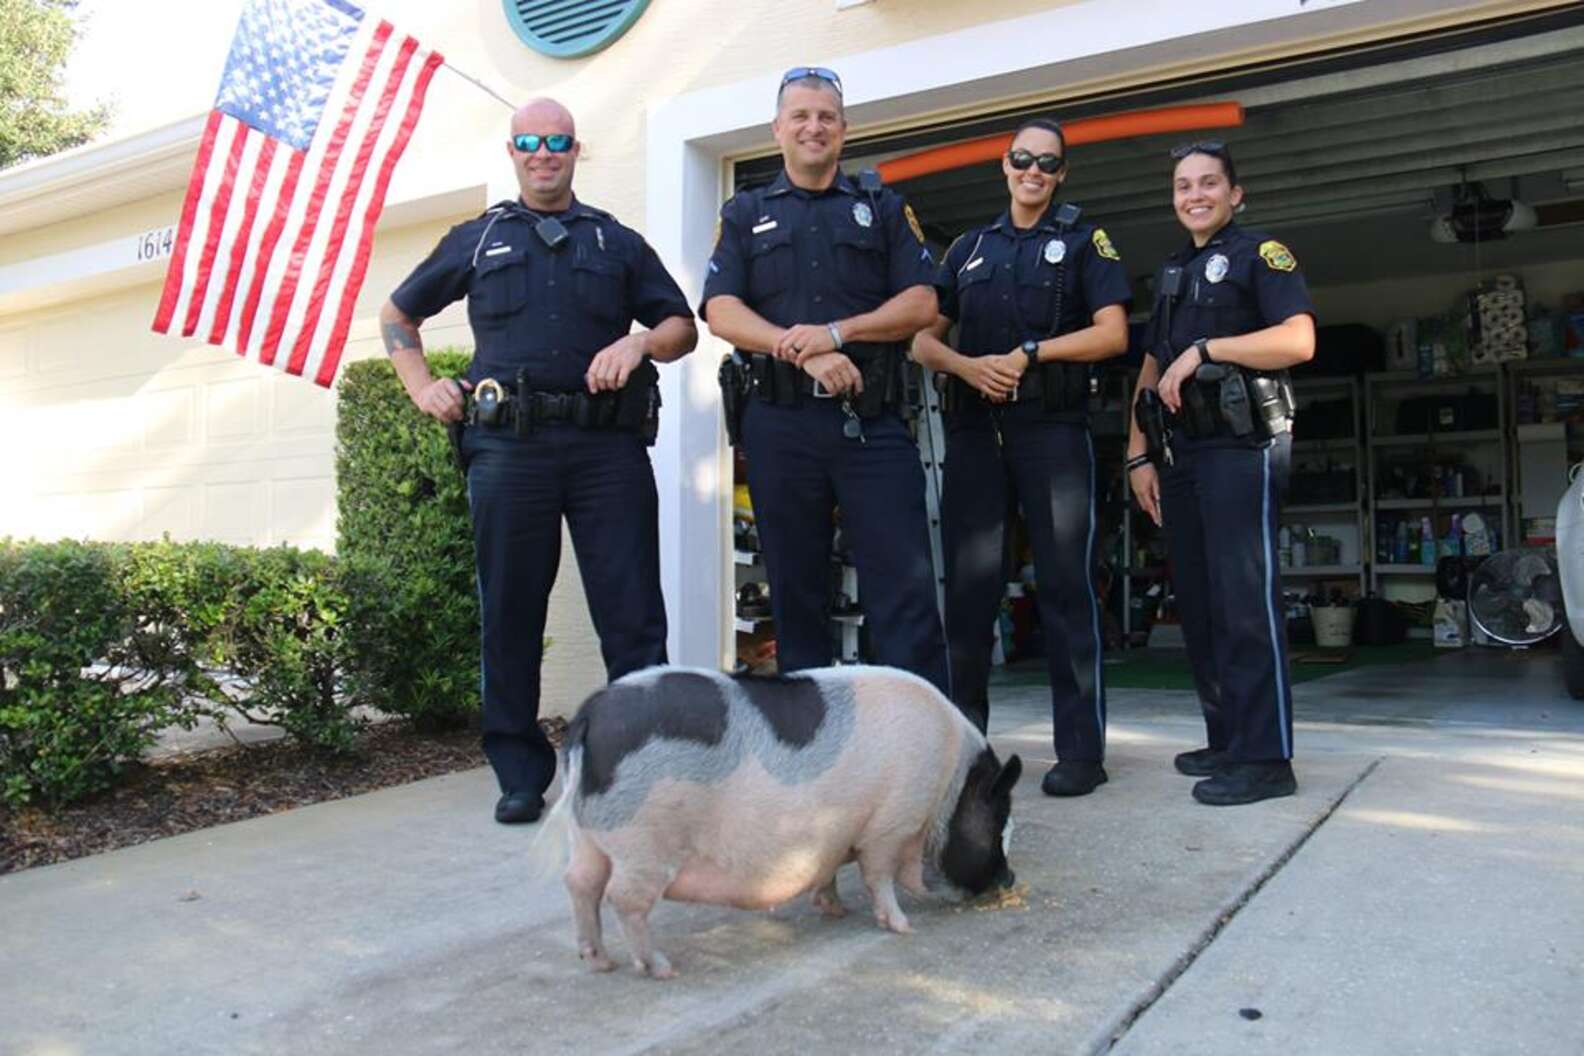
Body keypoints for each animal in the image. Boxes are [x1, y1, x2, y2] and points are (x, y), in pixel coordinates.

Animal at [532, 664, 1020, 981]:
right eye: (999, 823)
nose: (1011, 878)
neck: (948, 782)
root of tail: (589, 717)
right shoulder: (890, 824)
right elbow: (879, 877)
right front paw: (902, 927)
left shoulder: (835, 836)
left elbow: (829, 871)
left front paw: (835, 910)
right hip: (642, 845)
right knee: (623, 900)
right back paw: (661, 969)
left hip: (589, 839)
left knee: (580, 884)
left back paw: (599, 961)